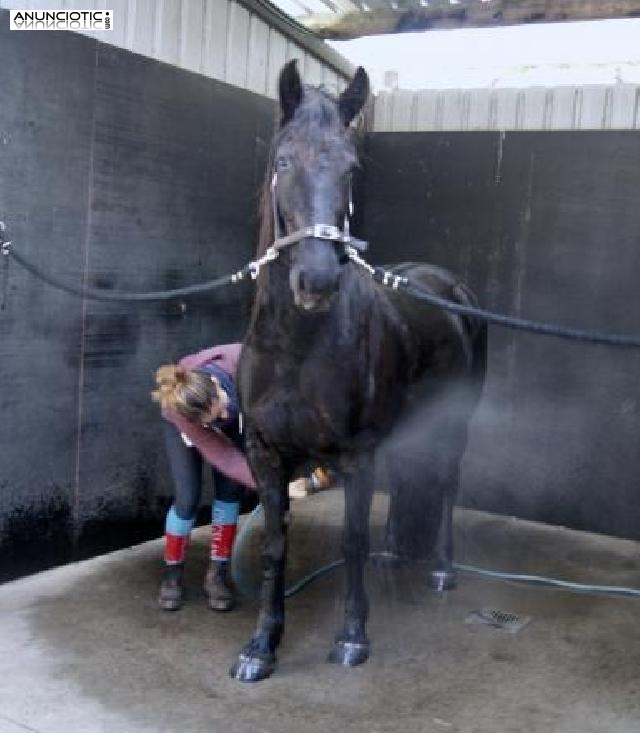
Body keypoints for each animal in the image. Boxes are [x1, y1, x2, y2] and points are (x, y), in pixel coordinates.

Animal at [232, 61, 488, 680]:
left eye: (350, 167)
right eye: (283, 161)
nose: (317, 280)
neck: (297, 348)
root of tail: (450, 287)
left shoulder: (354, 453)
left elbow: (350, 541)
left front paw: (352, 637)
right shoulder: (266, 455)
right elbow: (275, 544)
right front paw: (261, 647)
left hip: (455, 422)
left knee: (447, 483)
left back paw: (441, 568)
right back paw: (396, 553)